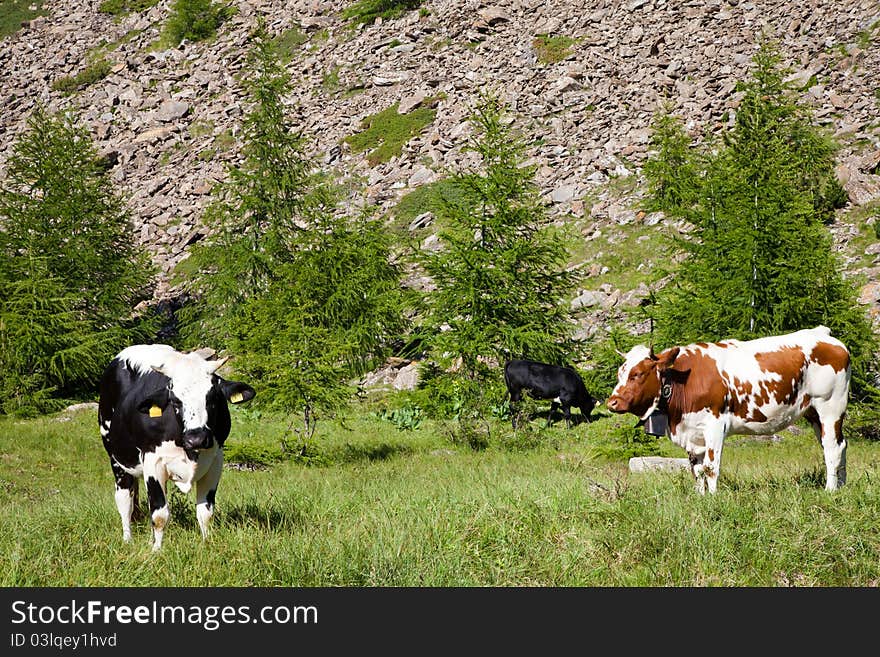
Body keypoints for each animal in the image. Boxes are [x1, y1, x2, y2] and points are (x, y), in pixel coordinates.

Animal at [102, 344, 258, 548]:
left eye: (213, 398)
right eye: (175, 400)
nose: (196, 438)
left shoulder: (215, 460)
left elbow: (205, 513)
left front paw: (207, 544)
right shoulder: (153, 461)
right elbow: (159, 514)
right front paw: (157, 550)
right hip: (116, 457)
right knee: (124, 499)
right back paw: (128, 539)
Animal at [608, 326, 848, 492]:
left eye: (637, 374)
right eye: (620, 373)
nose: (612, 402)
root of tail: (823, 334)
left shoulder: (714, 425)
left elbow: (711, 467)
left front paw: (713, 499)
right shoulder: (693, 433)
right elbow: (696, 470)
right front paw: (700, 497)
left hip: (830, 406)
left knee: (832, 448)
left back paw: (829, 490)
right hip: (813, 412)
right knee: (839, 444)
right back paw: (841, 487)